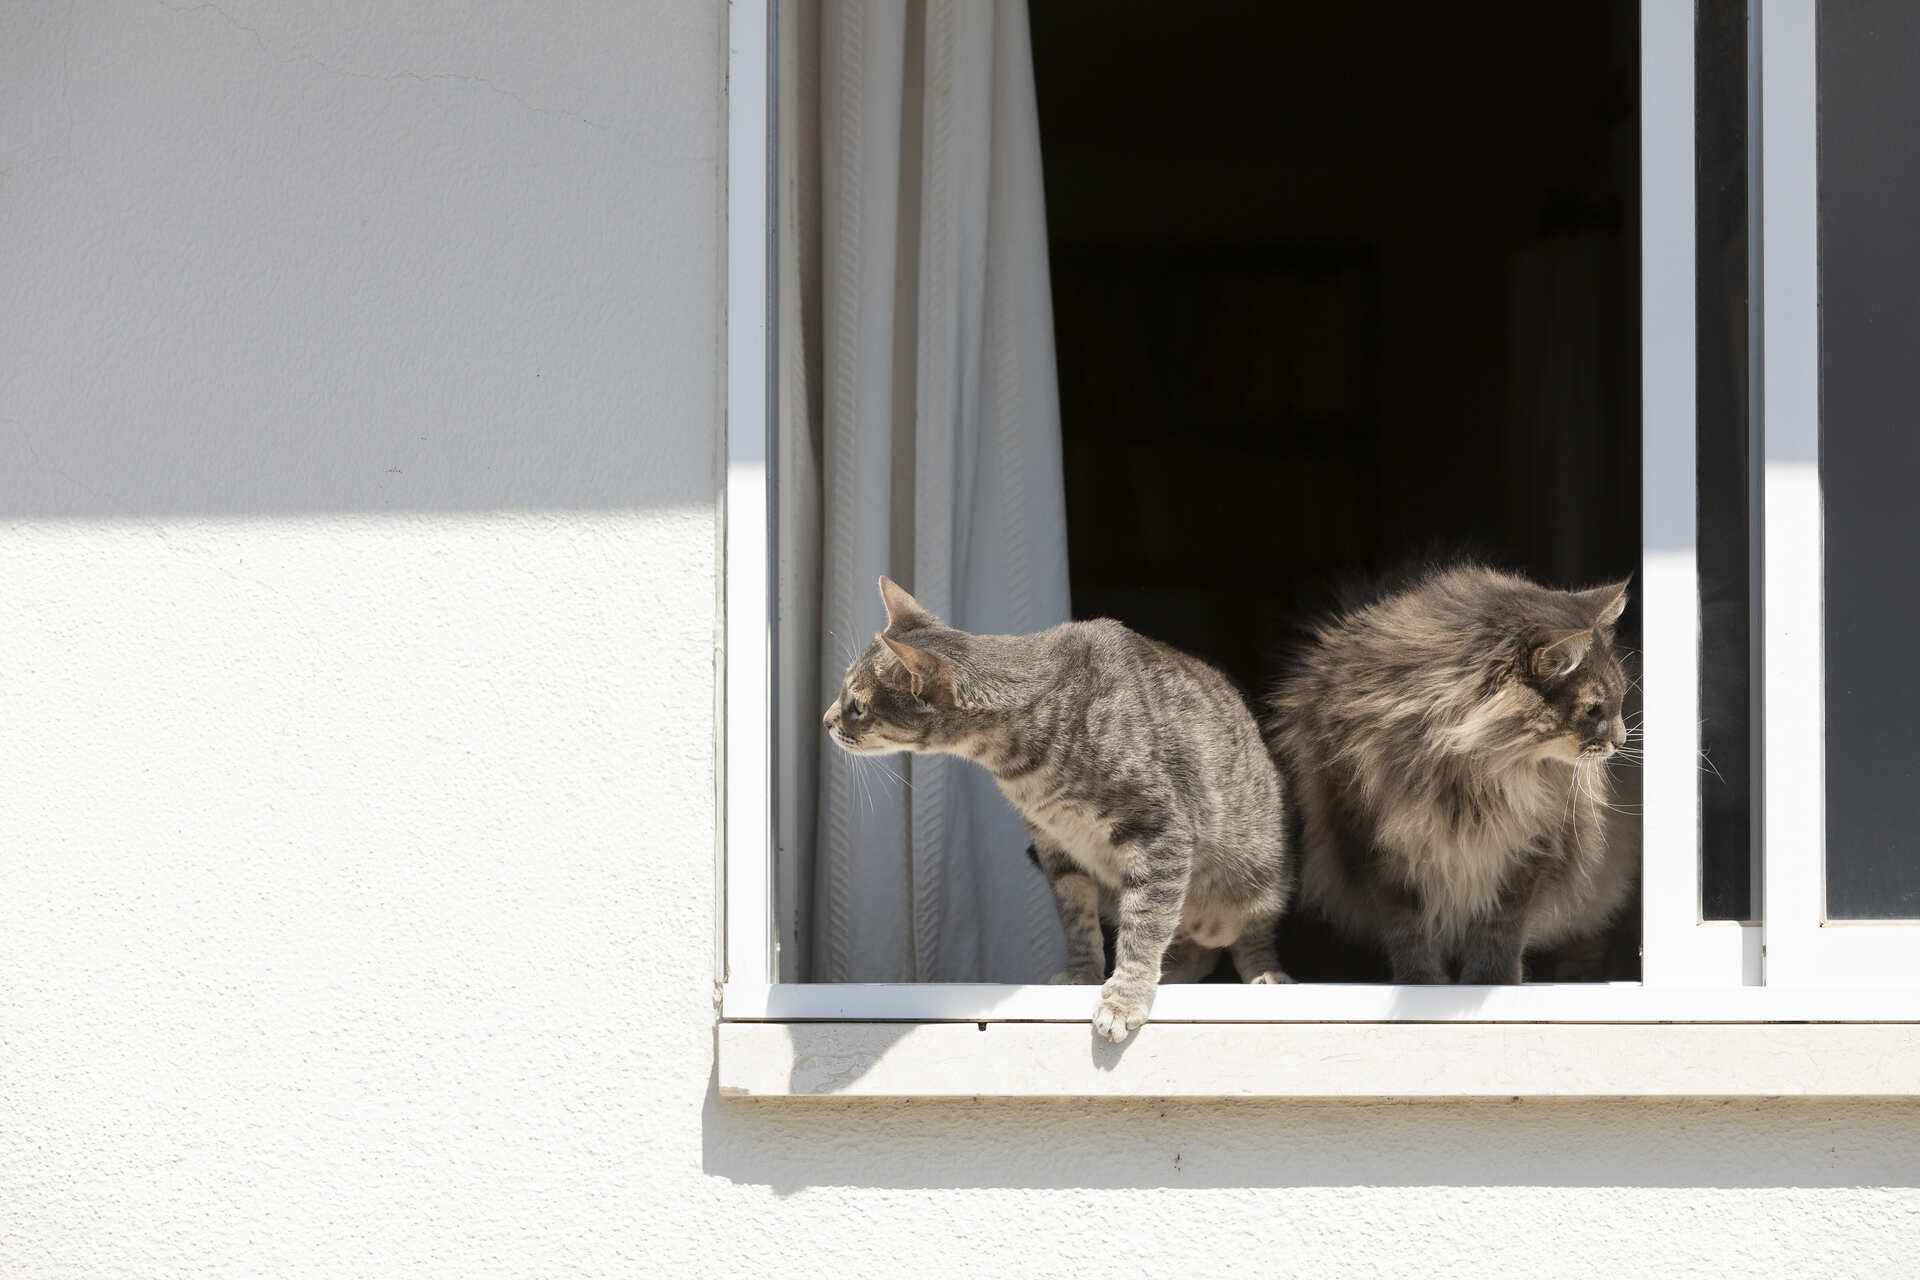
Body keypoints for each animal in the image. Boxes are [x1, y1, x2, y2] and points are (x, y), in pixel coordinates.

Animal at [825, 579, 1290, 1043]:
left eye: (858, 705)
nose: (827, 720)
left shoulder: (1161, 832)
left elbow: (1144, 925)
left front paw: (1124, 998)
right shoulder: (1055, 846)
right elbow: (1077, 921)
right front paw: (1082, 975)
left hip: (1258, 879)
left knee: (1252, 935)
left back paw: (1266, 974)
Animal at [1267, 564, 1643, 990]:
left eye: (1619, 700)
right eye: (1594, 709)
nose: (1621, 740)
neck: (1473, 774)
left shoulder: (1530, 849)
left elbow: (1501, 929)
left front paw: (1492, 981)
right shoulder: (1376, 848)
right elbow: (1408, 931)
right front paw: (1421, 983)